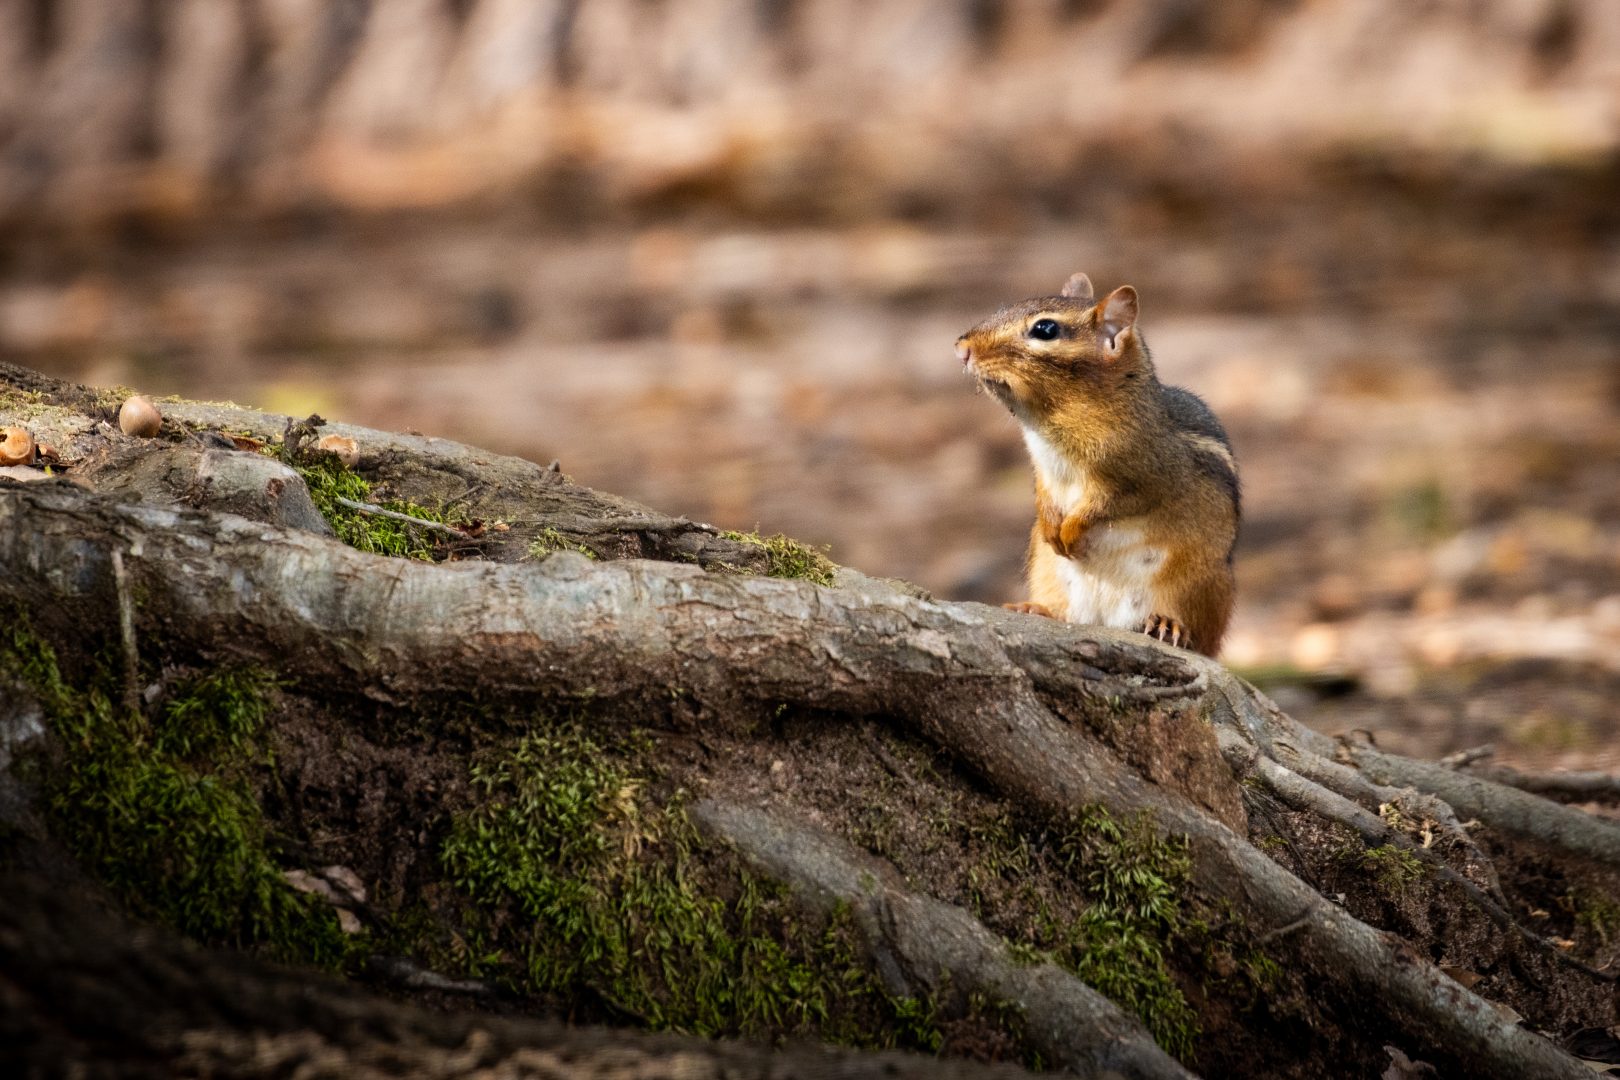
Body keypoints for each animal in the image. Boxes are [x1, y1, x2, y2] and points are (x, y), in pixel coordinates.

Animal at [955, 273, 1239, 656]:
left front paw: (1071, 529)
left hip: (1197, 581)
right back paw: (1036, 608)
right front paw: (1052, 526)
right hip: (1046, 569)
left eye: (1045, 329)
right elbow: (1044, 496)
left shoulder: (1140, 479)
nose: (961, 348)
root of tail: (1109, 621)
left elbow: (1107, 505)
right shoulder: (1044, 468)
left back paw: (1168, 625)